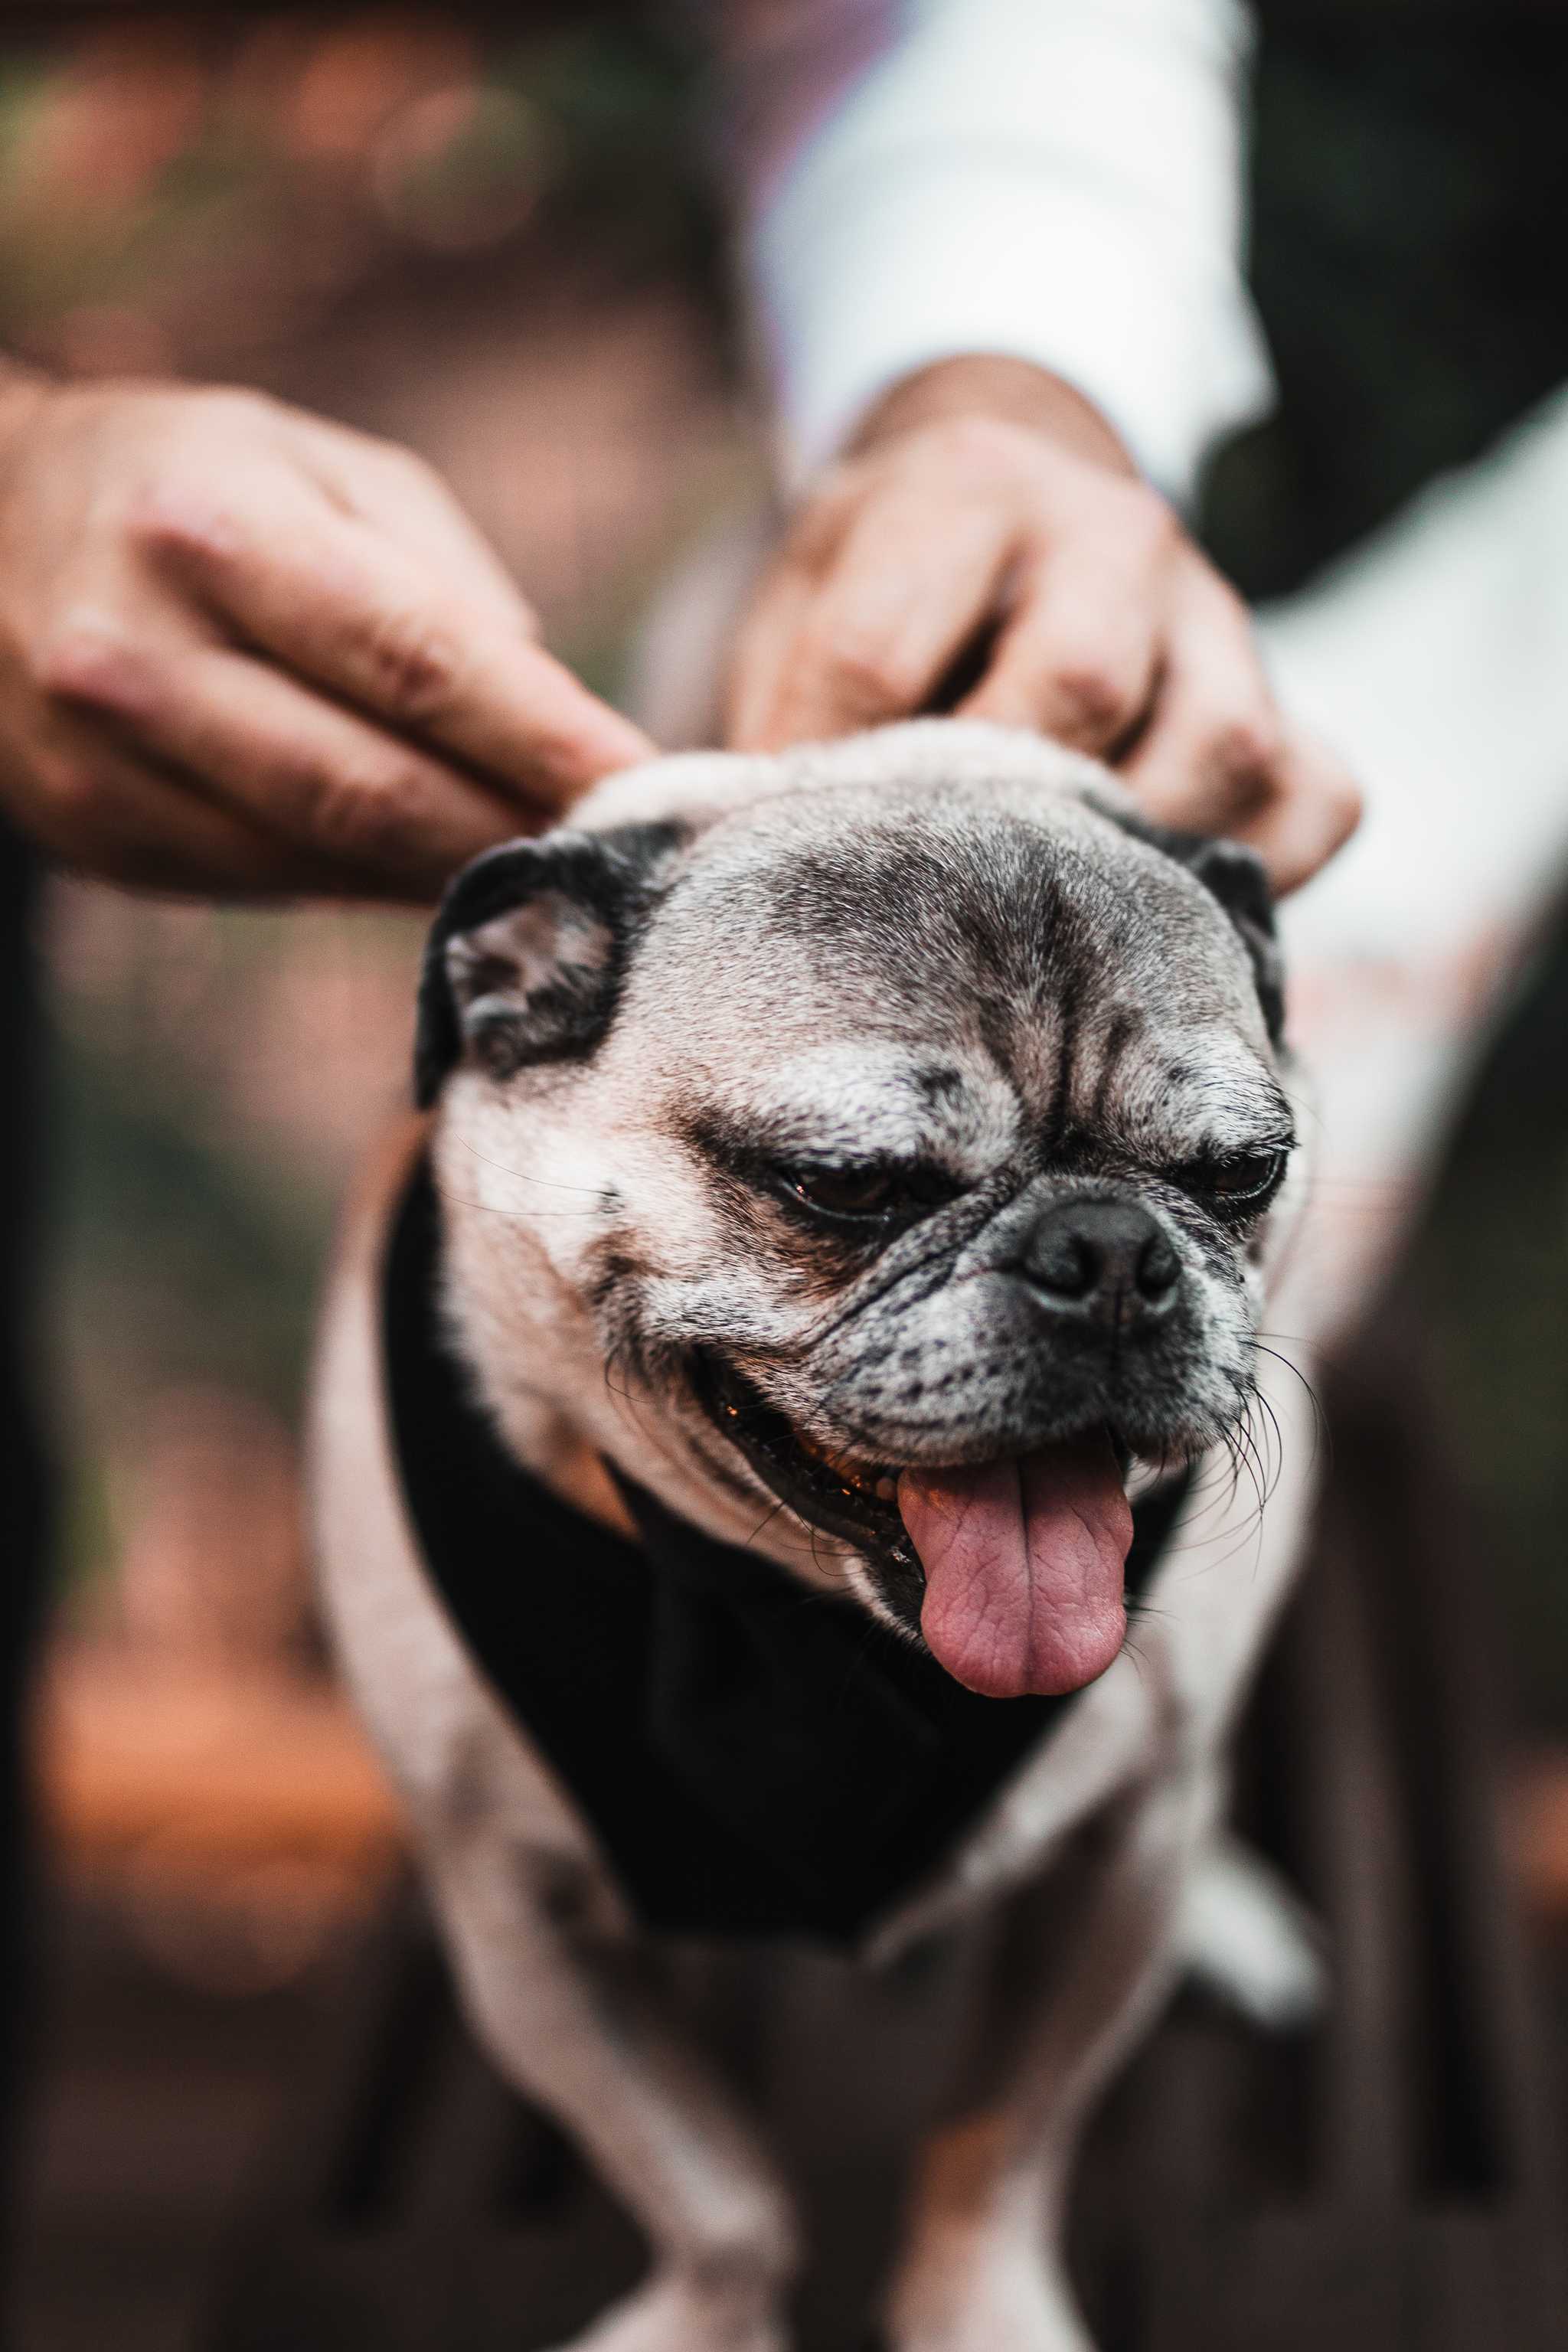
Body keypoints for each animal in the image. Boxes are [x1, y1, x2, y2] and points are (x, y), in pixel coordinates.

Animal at [315, 720, 1325, 2352]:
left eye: (1238, 1172)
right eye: (850, 1185)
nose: (1108, 1250)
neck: (785, 1630)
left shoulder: (1115, 1872)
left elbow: (1003, 2140)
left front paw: (977, 2310)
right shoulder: (523, 1930)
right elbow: (716, 2194)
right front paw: (705, 2318)